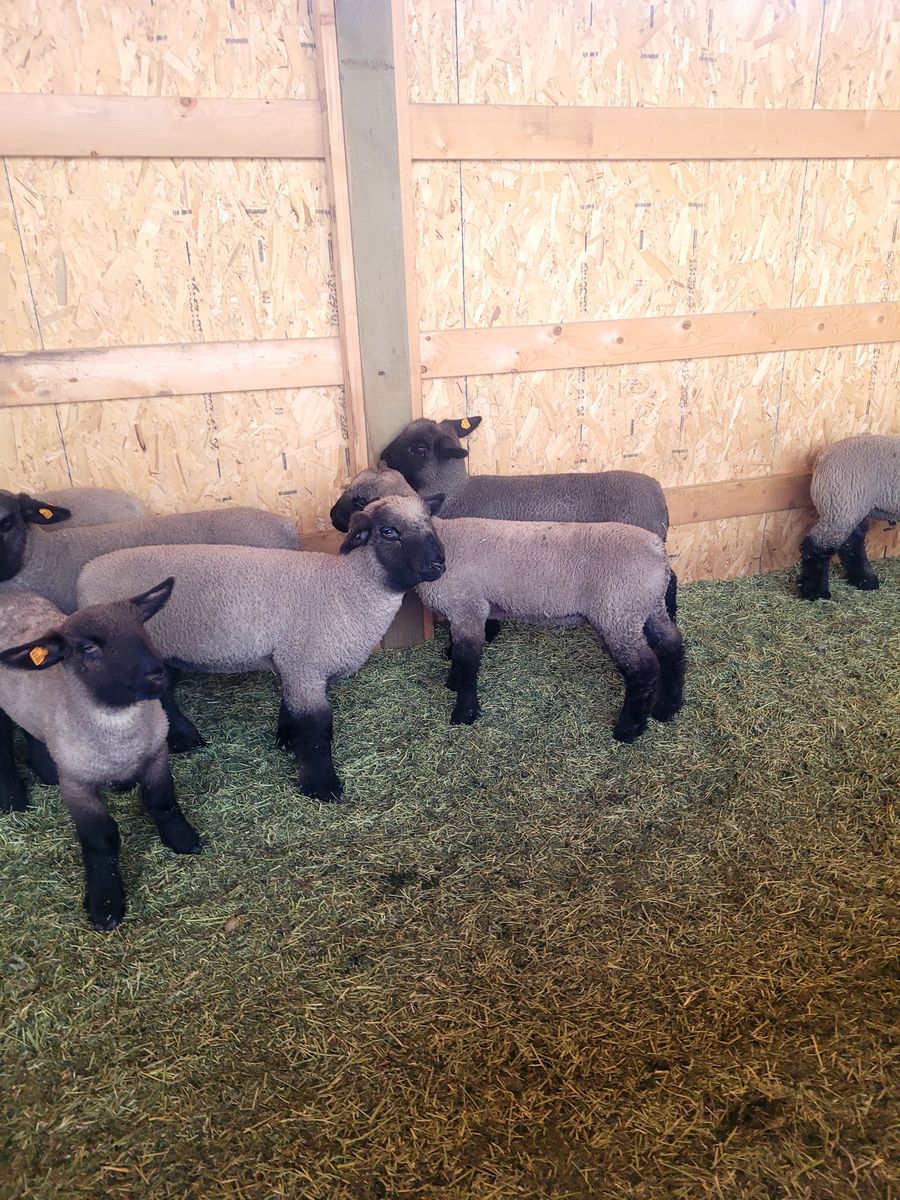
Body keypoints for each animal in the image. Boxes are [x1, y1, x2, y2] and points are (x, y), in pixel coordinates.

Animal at [0, 580, 200, 931]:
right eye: (88, 648)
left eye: (141, 625)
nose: (157, 675)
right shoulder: (77, 785)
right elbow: (100, 838)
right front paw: (105, 902)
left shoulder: (156, 754)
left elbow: (162, 802)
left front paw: (182, 839)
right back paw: (12, 799)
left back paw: (45, 770)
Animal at [76, 495, 447, 802]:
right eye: (389, 531)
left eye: (430, 522)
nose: (439, 564)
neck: (346, 588)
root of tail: (85, 577)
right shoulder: (305, 662)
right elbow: (316, 727)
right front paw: (321, 786)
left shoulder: (296, 662)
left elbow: (292, 706)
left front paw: (286, 738)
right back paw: (181, 740)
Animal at [331, 466, 684, 740]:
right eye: (389, 529)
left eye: (359, 499)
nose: (333, 517)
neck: (444, 539)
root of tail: (658, 549)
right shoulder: (465, 611)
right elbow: (459, 655)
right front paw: (452, 683)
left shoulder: (470, 608)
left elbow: (469, 660)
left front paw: (464, 712)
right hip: (647, 608)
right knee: (672, 645)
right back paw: (668, 707)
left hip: (618, 614)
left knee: (644, 668)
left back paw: (629, 729)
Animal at [799, 433, 900, 601]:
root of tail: (822, 457)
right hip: (840, 507)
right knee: (816, 546)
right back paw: (816, 592)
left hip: (851, 507)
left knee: (851, 542)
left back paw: (865, 580)